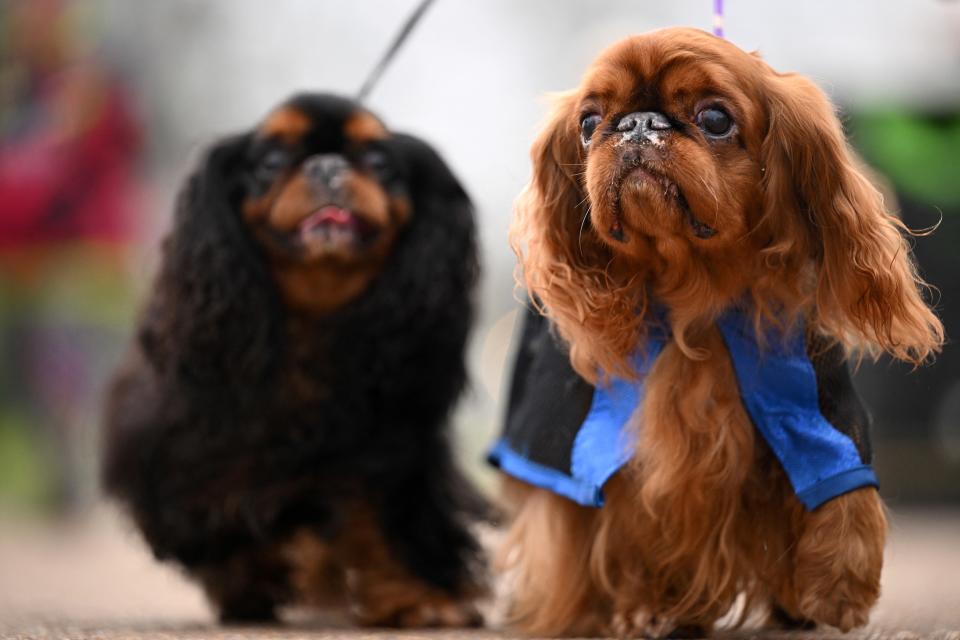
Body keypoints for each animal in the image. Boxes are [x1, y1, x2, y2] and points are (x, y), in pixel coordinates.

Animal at [103, 92, 488, 628]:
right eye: (271, 161)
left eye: (377, 161)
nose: (326, 166)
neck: (313, 314)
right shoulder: (192, 447)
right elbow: (221, 512)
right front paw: (247, 580)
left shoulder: (392, 444)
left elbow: (393, 516)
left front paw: (420, 597)